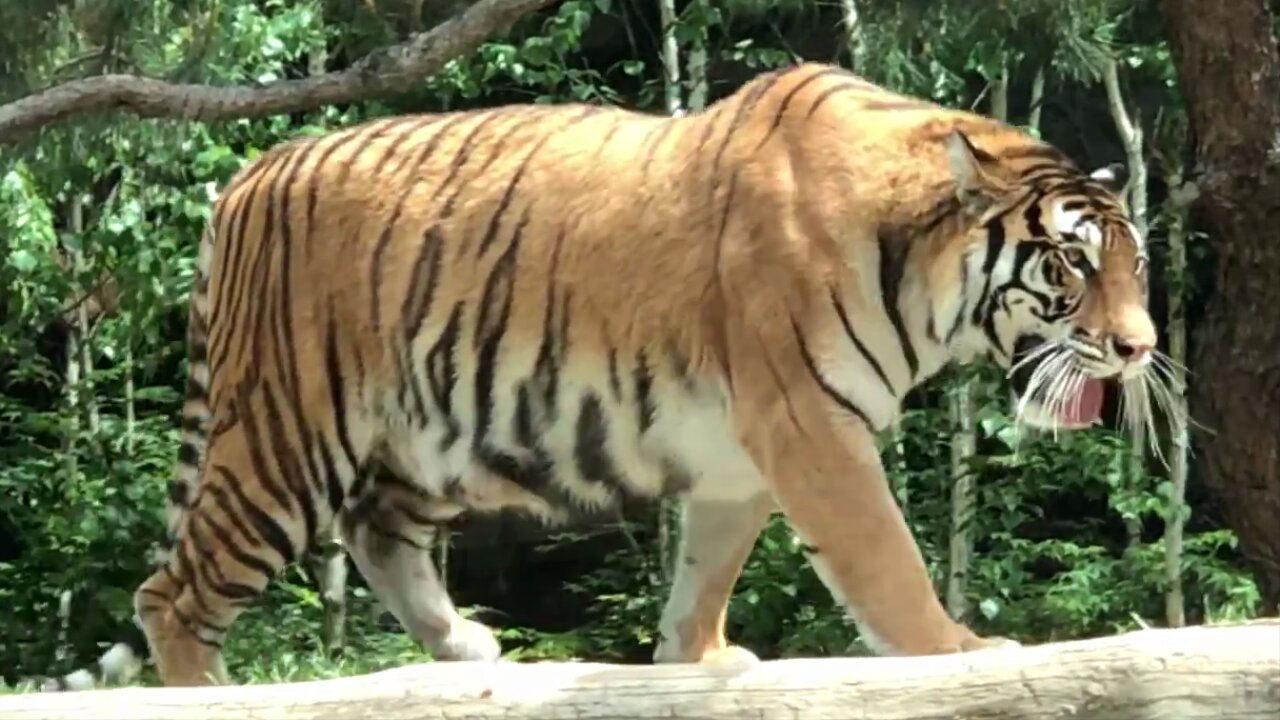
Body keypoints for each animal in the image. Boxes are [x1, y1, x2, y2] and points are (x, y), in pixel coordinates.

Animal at [37, 60, 1161, 690]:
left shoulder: (741, 454)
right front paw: (958, 650)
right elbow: (884, 557)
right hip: (285, 430)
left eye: (1135, 264)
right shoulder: (810, 428)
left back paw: (466, 651)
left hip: (419, 437)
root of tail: (240, 182)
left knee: (377, 534)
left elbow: (707, 567)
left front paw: (693, 659)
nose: (1141, 347)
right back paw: (209, 684)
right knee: (173, 593)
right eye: (1069, 265)